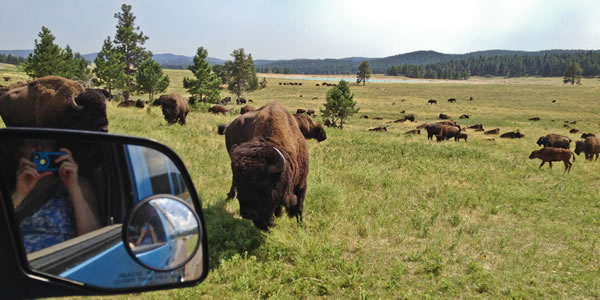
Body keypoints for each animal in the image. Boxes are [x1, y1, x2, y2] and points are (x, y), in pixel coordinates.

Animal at [218, 101, 310, 230]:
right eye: (241, 184)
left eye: (264, 185)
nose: (247, 214)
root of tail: (230, 126)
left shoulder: (302, 183)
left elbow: (299, 207)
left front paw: (301, 226)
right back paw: (230, 196)